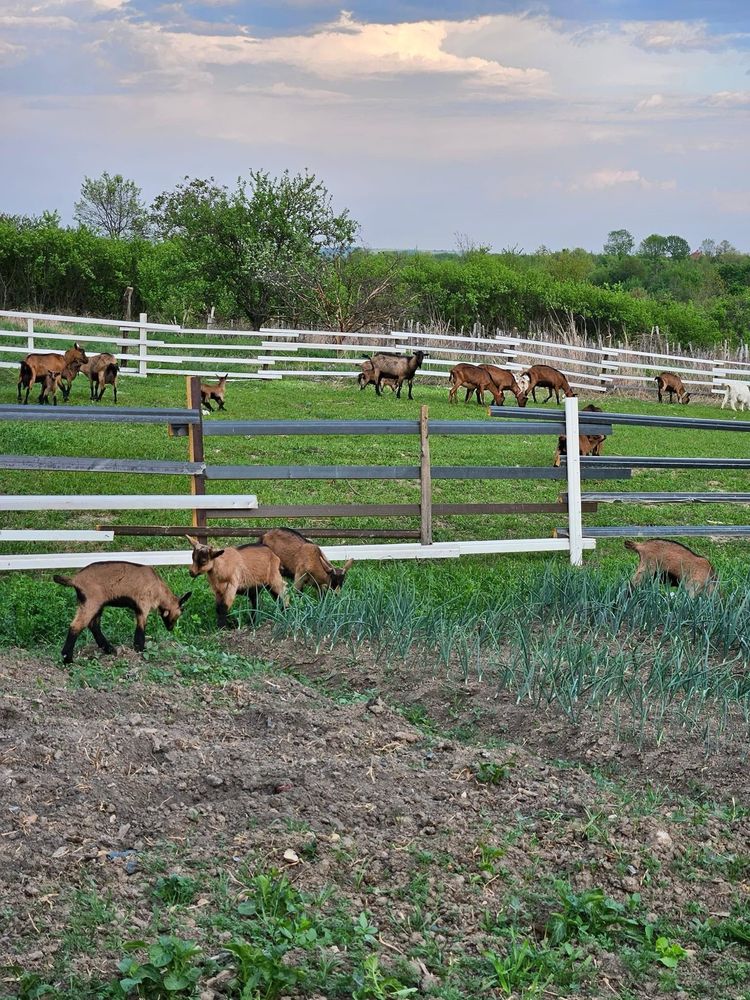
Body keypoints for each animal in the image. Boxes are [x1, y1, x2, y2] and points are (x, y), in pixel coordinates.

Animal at [53, 564, 192, 664]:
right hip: (91, 602)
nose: (170, 628)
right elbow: (141, 629)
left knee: (94, 625)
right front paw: (141, 649)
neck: (159, 589)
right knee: (76, 626)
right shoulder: (143, 606)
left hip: (95, 604)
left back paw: (109, 649)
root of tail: (74, 580)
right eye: (181, 612)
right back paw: (67, 659)